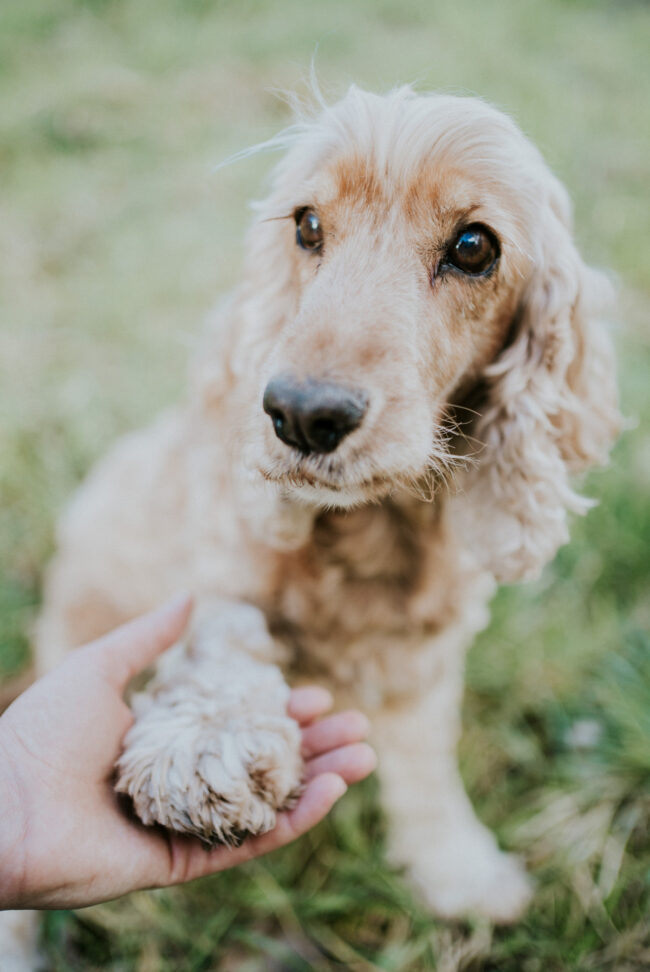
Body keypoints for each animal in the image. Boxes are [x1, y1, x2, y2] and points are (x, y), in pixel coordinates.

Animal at [20, 87, 620, 936]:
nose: (301, 415)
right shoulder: (216, 564)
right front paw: (205, 749)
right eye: (306, 225)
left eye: (474, 246)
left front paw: (461, 872)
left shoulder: (425, 658)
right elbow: (224, 631)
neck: (371, 528)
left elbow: (427, 771)